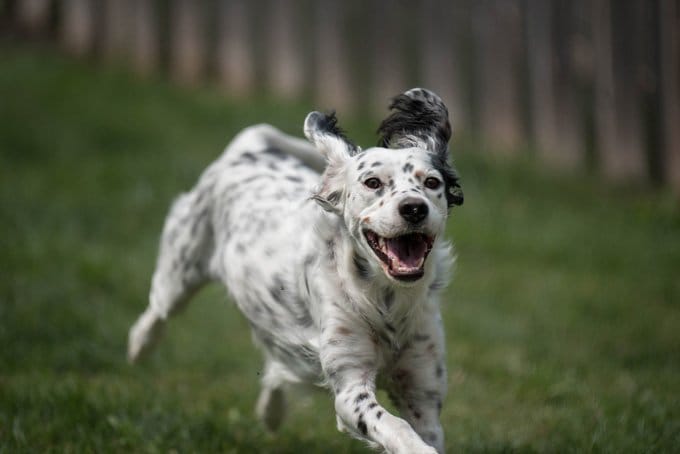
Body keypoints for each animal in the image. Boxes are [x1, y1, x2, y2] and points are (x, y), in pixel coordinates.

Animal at [129, 88, 462, 454]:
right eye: (372, 182)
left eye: (431, 182)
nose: (414, 208)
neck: (386, 303)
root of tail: (252, 147)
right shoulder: (350, 387)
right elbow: (395, 425)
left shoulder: (422, 388)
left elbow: (421, 427)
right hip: (181, 268)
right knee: (159, 311)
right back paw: (139, 345)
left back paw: (271, 412)